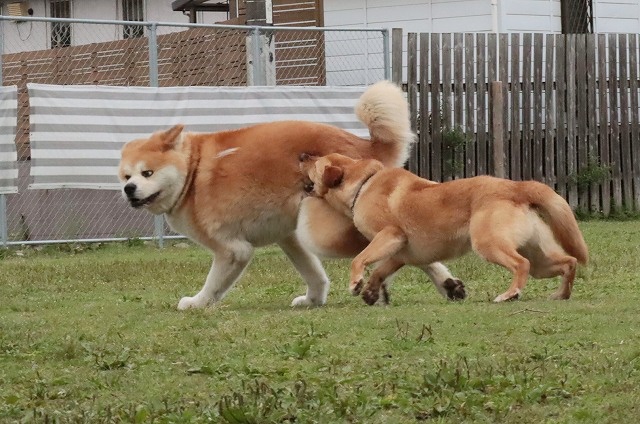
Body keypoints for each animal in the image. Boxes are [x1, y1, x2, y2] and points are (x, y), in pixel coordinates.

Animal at [117, 81, 464, 309]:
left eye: (147, 173)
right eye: (125, 176)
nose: (129, 190)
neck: (192, 173)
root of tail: (362, 145)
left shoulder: (233, 250)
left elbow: (214, 285)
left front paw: (198, 303)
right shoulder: (289, 237)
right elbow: (314, 275)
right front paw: (313, 300)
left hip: (326, 231)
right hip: (308, 228)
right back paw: (441, 286)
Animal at [299, 153, 589, 304]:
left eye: (315, 162)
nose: (302, 155)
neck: (363, 184)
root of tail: (516, 187)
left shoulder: (390, 235)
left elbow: (359, 260)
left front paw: (356, 284)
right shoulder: (400, 253)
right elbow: (380, 271)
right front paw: (371, 291)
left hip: (488, 244)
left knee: (521, 264)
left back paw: (509, 294)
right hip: (540, 258)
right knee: (569, 262)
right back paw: (561, 294)